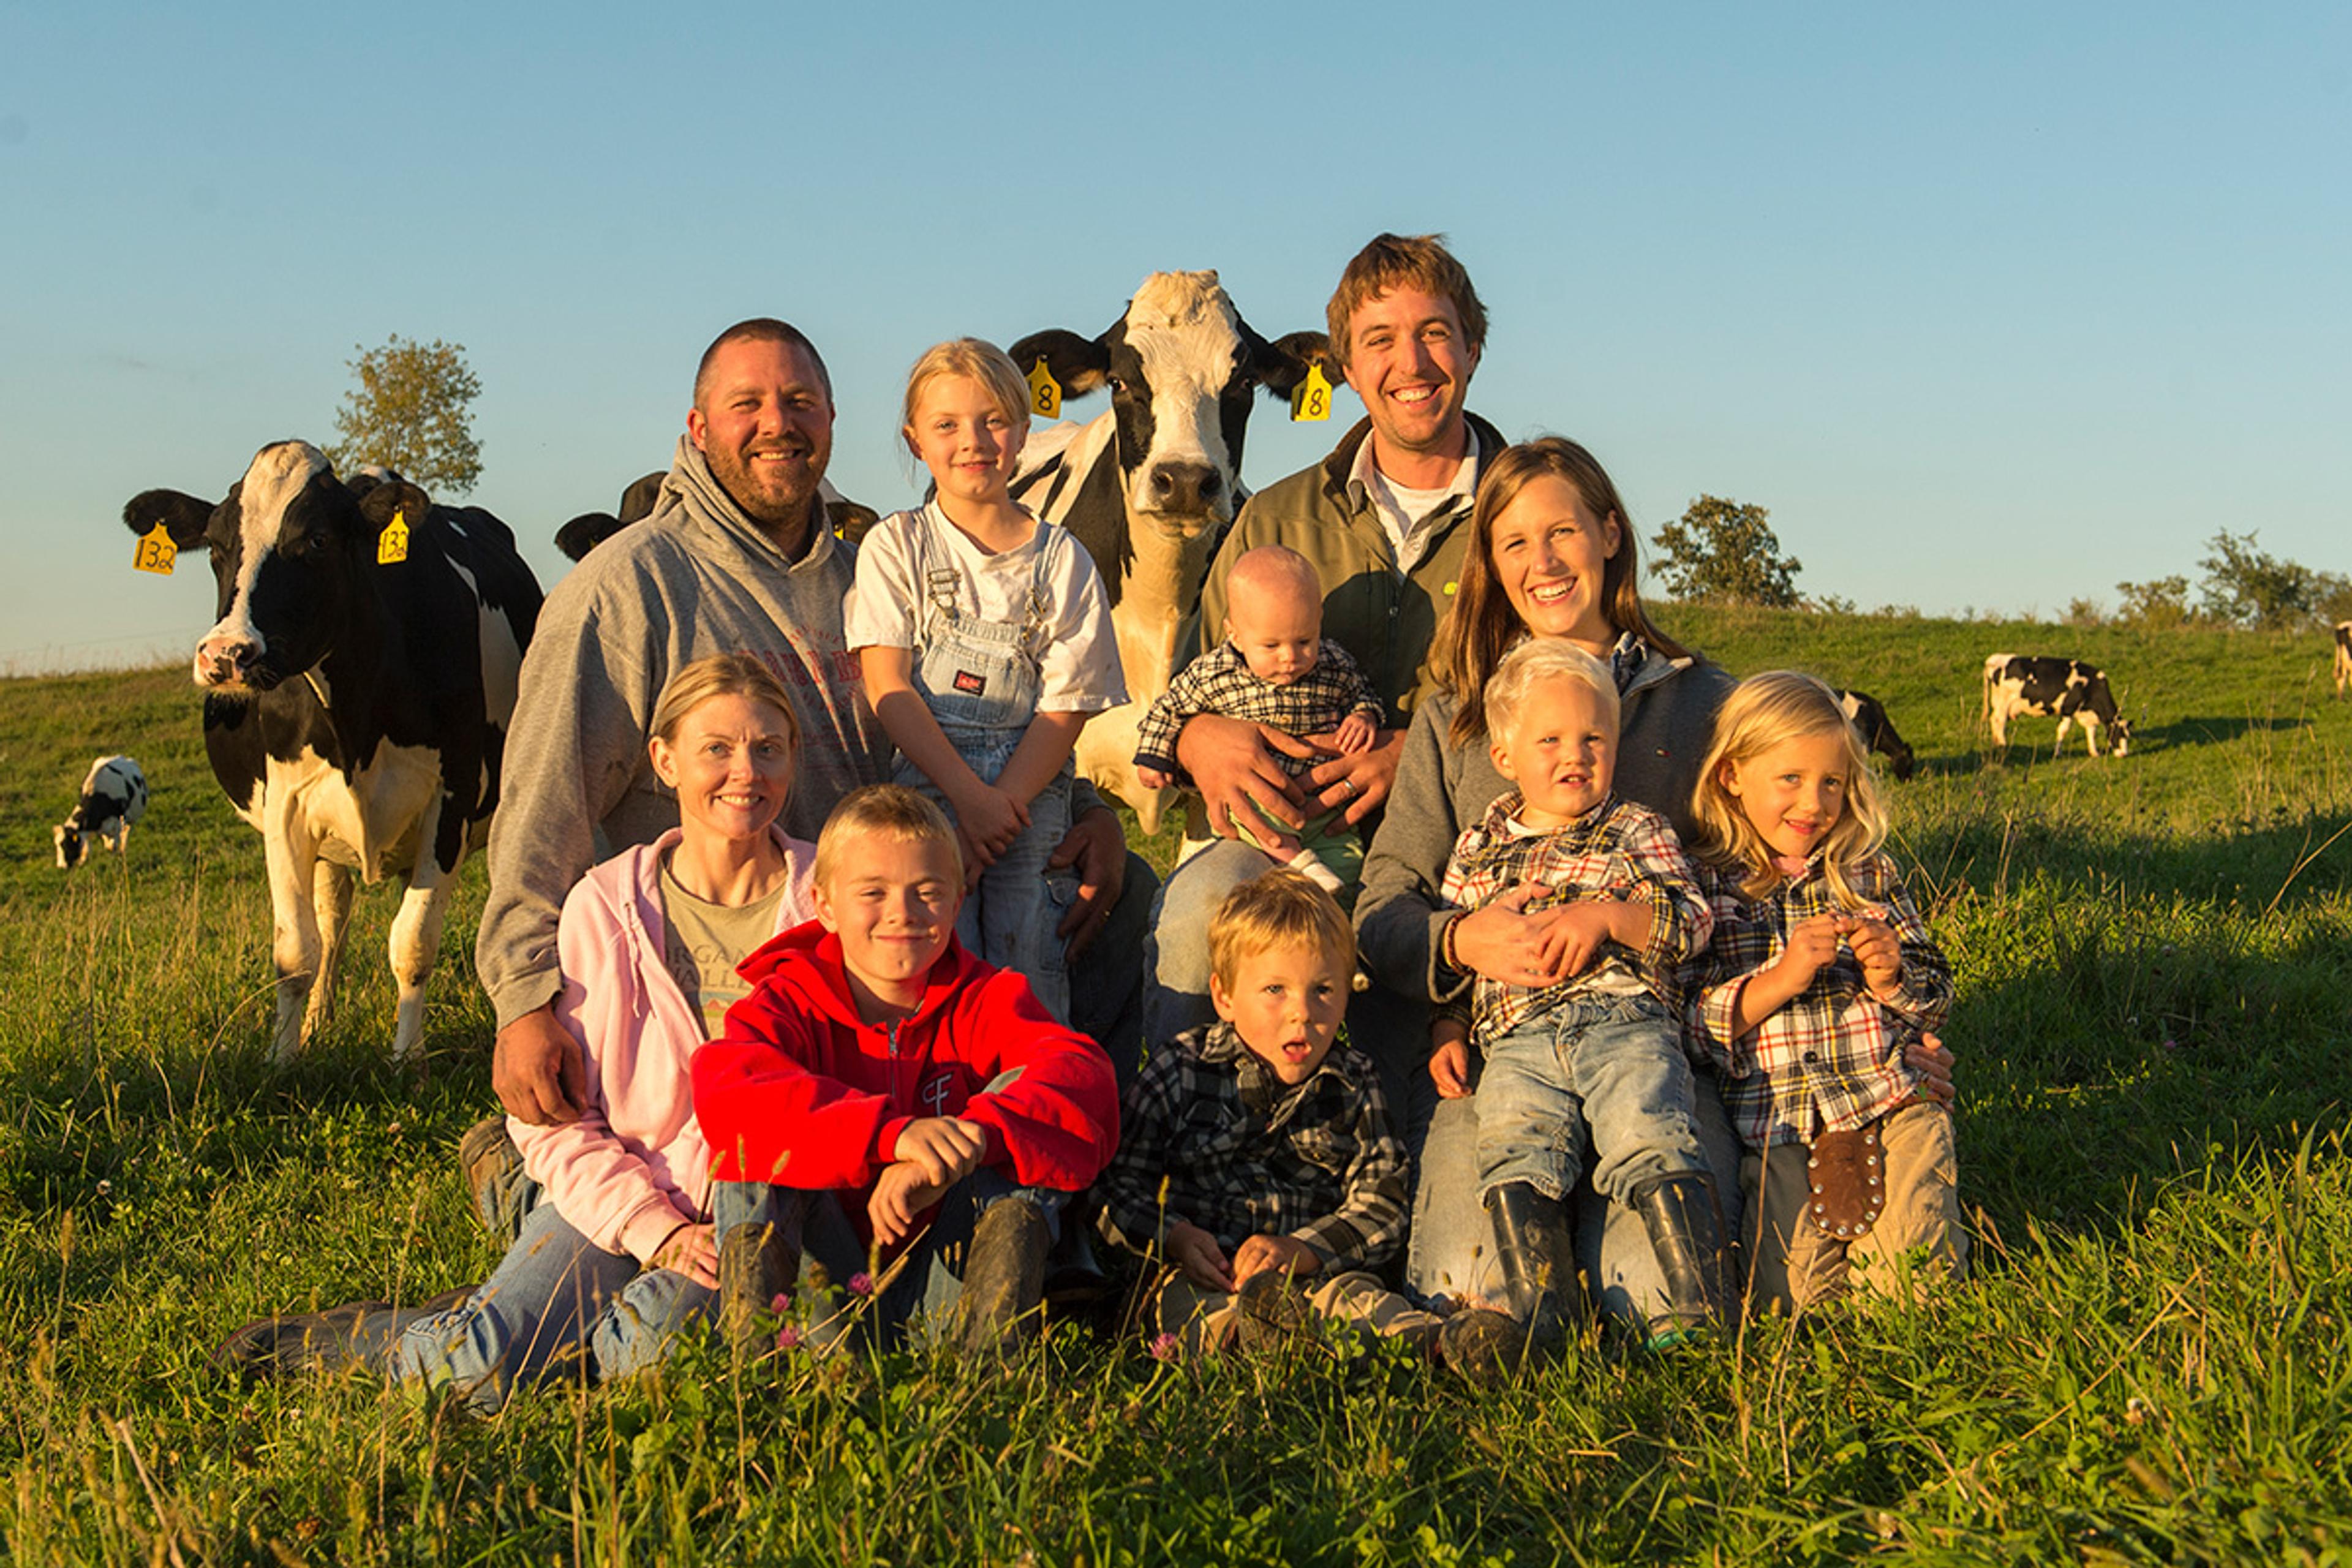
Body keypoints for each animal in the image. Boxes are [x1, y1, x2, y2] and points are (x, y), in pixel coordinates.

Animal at [55, 756, 149, 870]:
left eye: (66, 845)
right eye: (57, 845)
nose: (61, 866)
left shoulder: (118, 823)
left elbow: (113, 845)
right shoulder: (91, 828)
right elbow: (89, 848)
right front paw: (82, 862)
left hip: (131, 819)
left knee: (126, 834)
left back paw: (123, 850)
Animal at [124, 439, 541, 1067]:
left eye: (317, 540)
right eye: (217, 546)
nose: (226, 656)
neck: (356, 721)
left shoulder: (452, 797)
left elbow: (414, 942)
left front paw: (407, 1059)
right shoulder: (286, 808)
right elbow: (297, 950)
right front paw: (283, 1058)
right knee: (333, 917)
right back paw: (319, 1023)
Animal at [1985, 658, 2135, 761]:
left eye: (2128, 736)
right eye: (2118, 734)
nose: (2124, 754)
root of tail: (1997, 658)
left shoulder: (2087, 715)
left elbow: (2091, 732)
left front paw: (2094, 753)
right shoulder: (2068, 708)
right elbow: (2063, 730)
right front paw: (2058, 753)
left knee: (1994, 721)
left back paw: (1996, 743)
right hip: (2003, 703)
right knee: (2000, 722)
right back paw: (2002, 745)